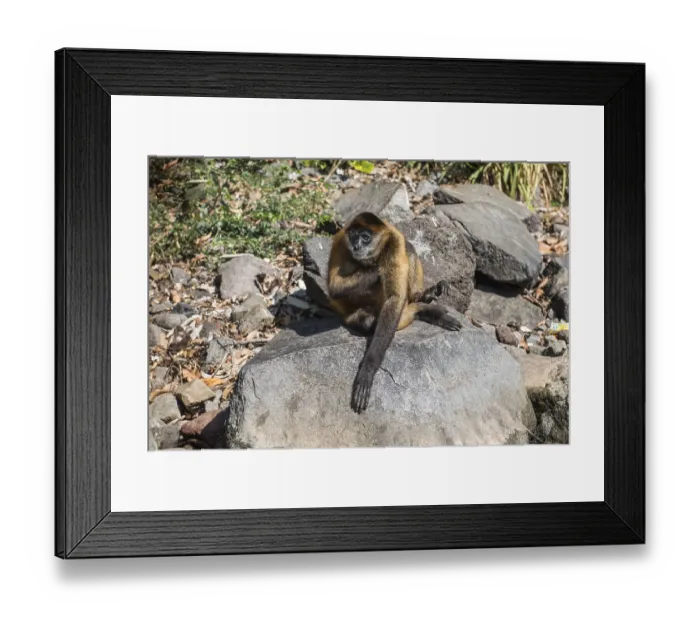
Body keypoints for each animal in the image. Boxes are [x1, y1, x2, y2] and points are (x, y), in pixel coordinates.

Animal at [327, 211, 462, 413]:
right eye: (353, 236)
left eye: (365, 237)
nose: (357, 245)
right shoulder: (341, 241)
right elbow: (334, 287)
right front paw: (374, 268)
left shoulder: (394, 243)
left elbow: (395, 299)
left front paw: (368, 369)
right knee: (367, 319)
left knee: (409, 249)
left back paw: (421, 301)